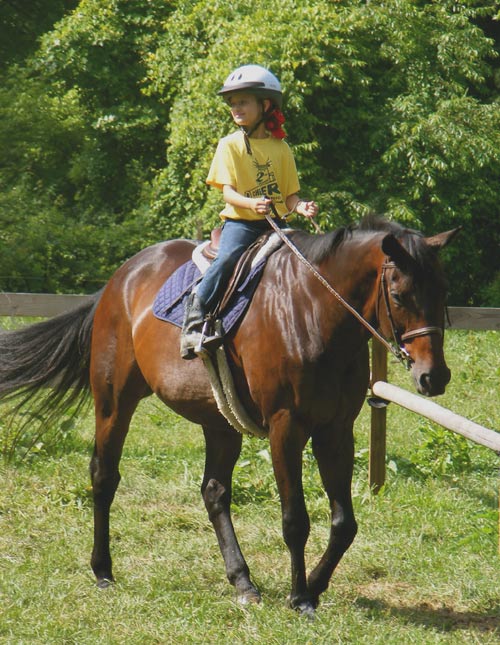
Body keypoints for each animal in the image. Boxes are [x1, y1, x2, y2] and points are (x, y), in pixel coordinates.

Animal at [0, 216, 458, 612]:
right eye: (399, 296)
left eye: (443, 292)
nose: (433, 376)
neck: (313, 311)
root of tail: (122, 277)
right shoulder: (286, 427)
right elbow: (295, 520)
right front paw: (300, 597)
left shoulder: (337, 429)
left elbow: (344, 523)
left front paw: (314, 585)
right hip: (114, 401)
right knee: (104, 475)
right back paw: (103, 570)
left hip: (219, 421)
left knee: (214, 491)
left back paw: (242, 581)